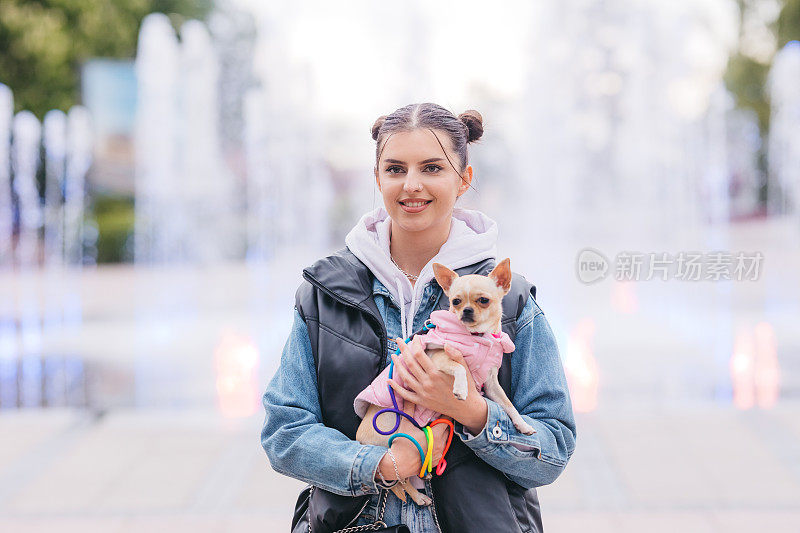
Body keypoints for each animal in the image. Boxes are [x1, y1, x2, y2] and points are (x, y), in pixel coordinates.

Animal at [354, 256, 532, 504]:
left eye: (483, 301)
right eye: (455, 301)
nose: (466, 310)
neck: (476, 338)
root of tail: (360, 440)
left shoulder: (492, 385)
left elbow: (507, 405)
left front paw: (522, 425)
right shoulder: (438, 359)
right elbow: (459, 367)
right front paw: (461, 389)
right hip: (396, 438)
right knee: (399, 478)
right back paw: (418, 497)